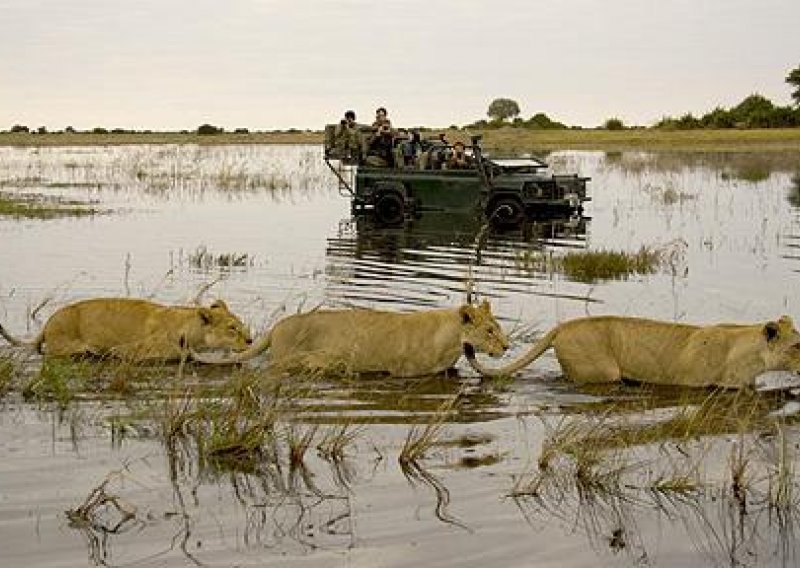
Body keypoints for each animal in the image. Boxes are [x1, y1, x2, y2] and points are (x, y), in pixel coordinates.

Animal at [0, 296, 250, 362]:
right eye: (232, 329)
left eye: (241, 325)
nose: (249, 341)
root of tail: (48, 323)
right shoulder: (131, 352)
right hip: (67, 346)